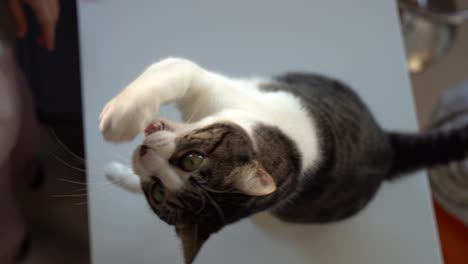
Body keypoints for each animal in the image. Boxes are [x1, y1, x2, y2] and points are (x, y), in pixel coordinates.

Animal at [98, 57, 468, 264]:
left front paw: (121, 117)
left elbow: (178, 66)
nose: (144, 153)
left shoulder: (225, 93)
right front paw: (116, 170)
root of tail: (387, 149)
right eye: (159, 191)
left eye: (191, 160)